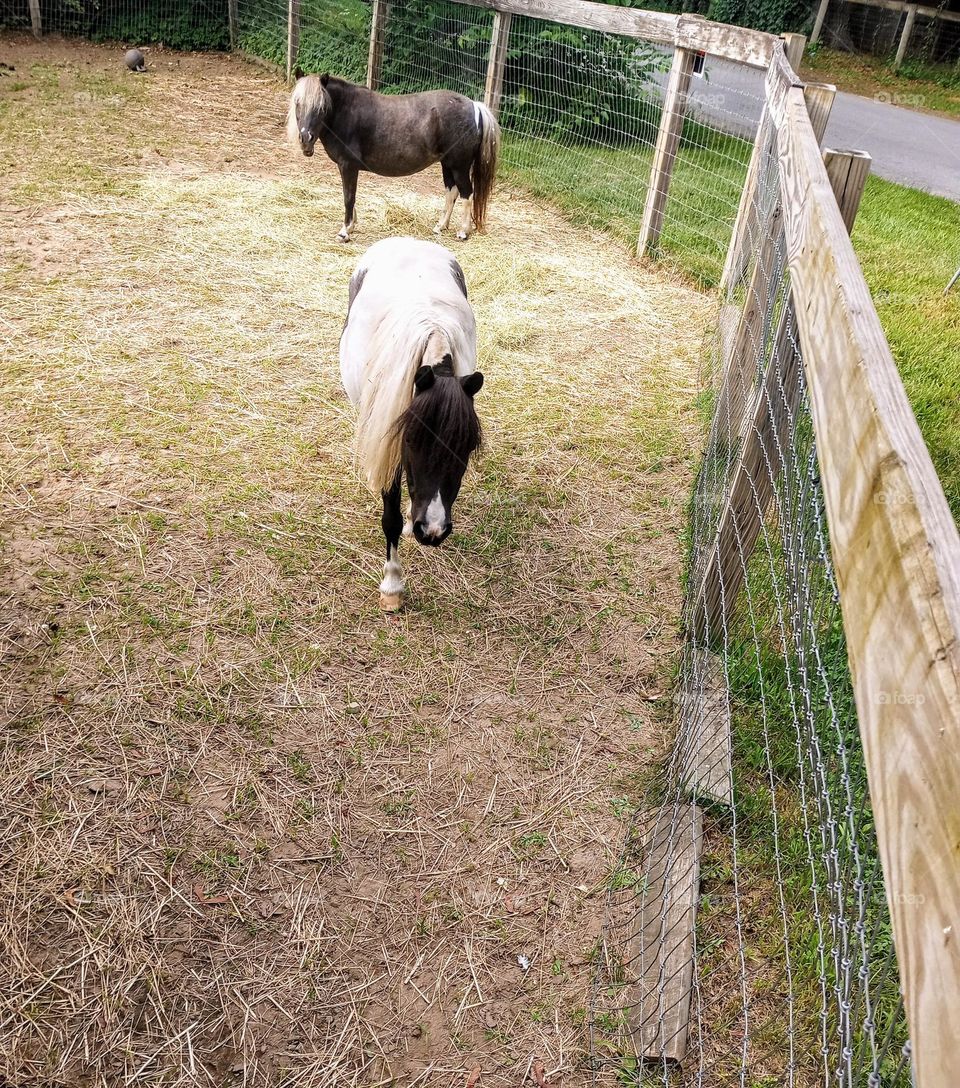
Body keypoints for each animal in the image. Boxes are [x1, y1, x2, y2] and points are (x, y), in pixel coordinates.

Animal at [285, 76, 500, 244]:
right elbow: (351, 196)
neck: (345, 111)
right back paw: (440, 226)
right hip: (447, 164)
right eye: (297, 103)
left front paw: (345, 232)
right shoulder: (347, 168)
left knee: (466, 193)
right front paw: (352, 225)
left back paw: (463, 232)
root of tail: (474, 106)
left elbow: (348, 197)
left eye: (321, 107)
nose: (305, 139)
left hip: (459, 166)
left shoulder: (347, 166)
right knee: (451, 192)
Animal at [339, 238, 485, 613]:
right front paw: (392, 585)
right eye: (412, 440)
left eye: (467, 447)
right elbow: (389, 514)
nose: (432, 530)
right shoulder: (387, 440)